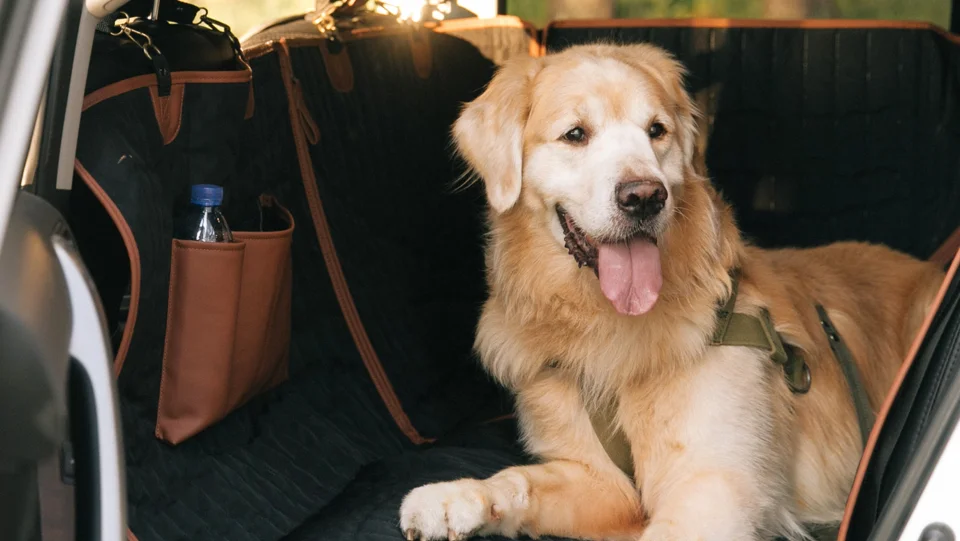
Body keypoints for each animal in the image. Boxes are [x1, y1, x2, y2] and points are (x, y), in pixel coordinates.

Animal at [398, 43, 944, 540]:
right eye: (575, 134)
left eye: (656, 131)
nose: (644, 196)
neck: (605, 326)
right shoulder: (599, 481)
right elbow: (519, 480)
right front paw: (456, 496)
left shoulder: (714, 486)